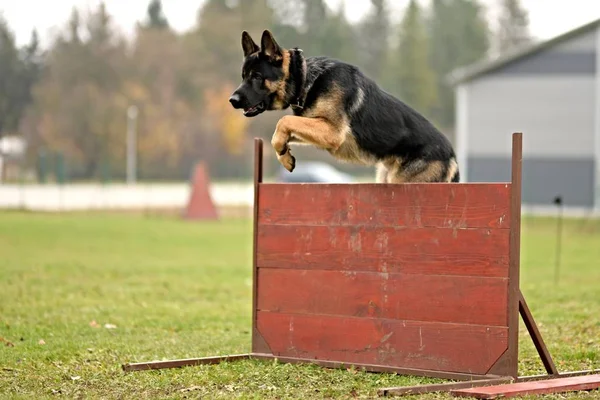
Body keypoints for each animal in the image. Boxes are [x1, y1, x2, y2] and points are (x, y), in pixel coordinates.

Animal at [229, 29, 460, 183]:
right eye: (243, 76)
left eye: (257, 76)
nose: (232, 100)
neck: (306, 78)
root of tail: (452, 156)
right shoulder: (317, 126)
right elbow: (283, 129)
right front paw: (285, 155)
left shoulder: (332, 132)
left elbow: (284, 120)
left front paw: (283, 151)